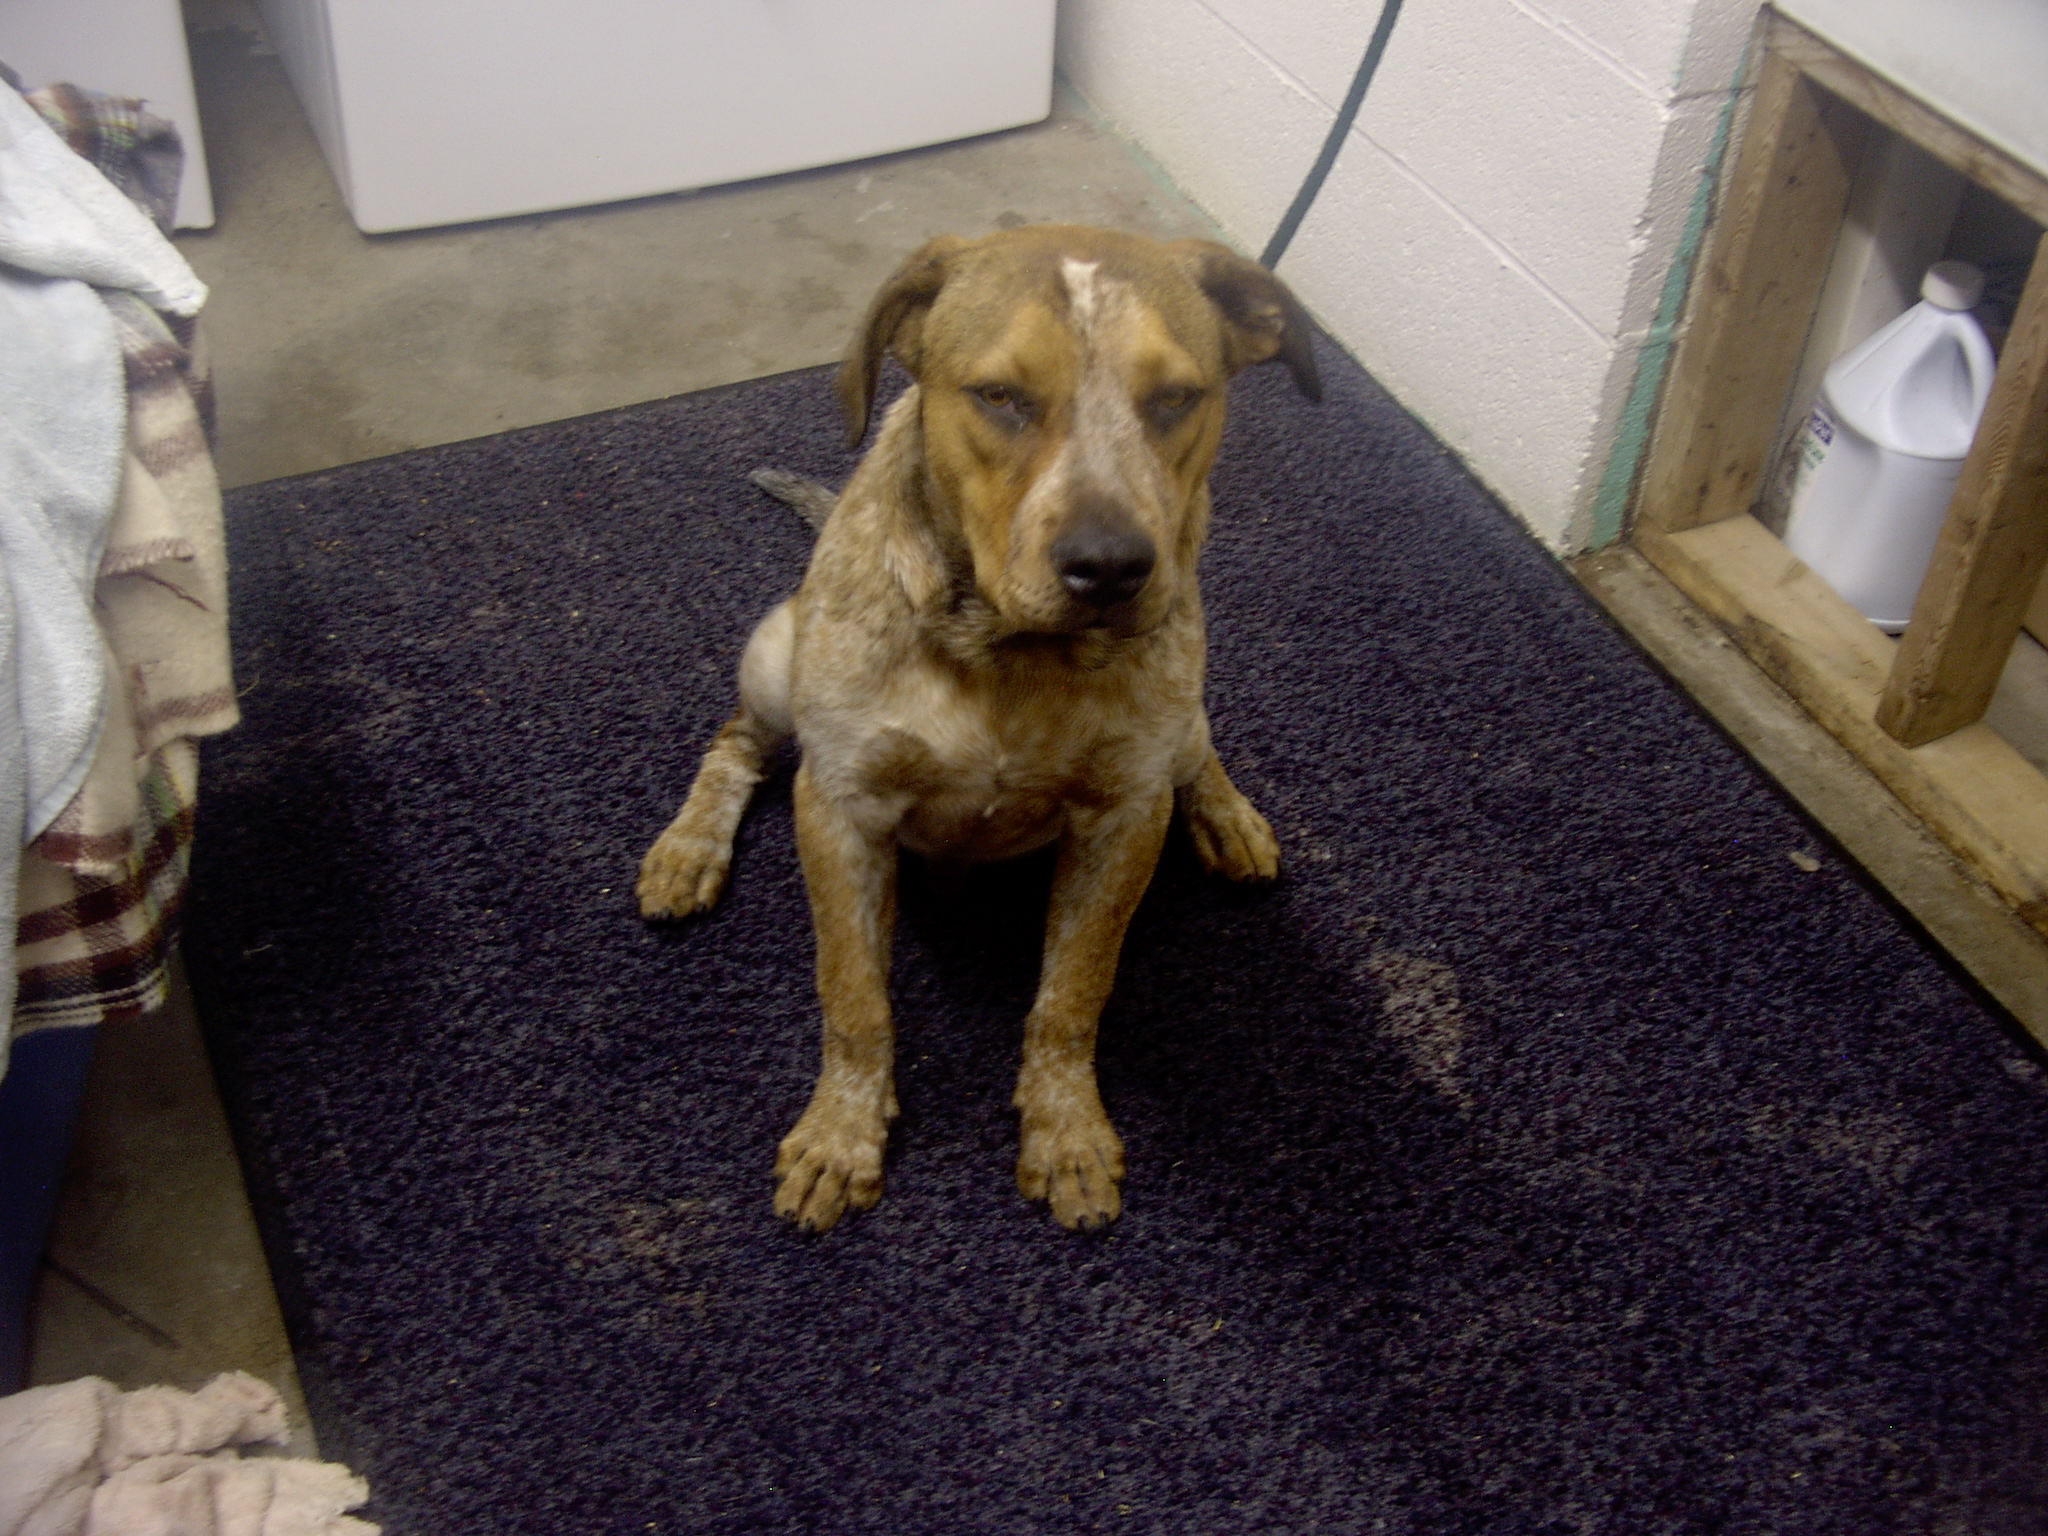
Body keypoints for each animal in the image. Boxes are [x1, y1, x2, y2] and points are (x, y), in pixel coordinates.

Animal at [638, 224, 1320, 1231]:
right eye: (999, 395)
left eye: (1176, 397)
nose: (1109, 568)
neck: (1008, 653)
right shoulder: (840, 811)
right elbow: (854, 997)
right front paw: (842, 1136)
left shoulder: (1122, 822)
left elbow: (1072, 994)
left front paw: (1066, 1130)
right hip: (772, 659)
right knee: (732, 748)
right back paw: (688, 848)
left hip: (1180, 715)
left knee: (1199, 746)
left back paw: (1227, 817)